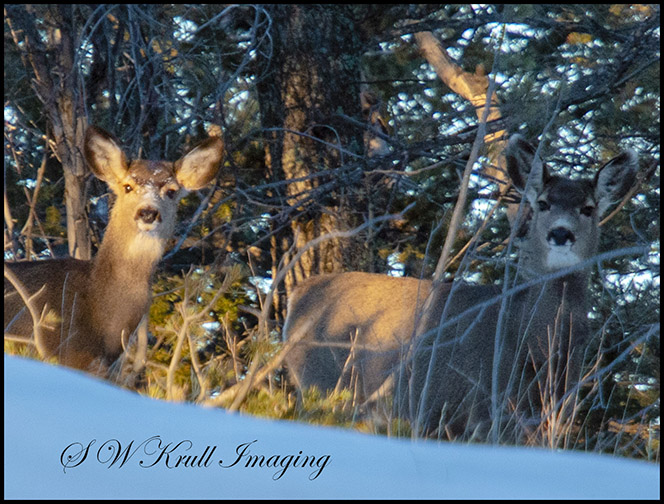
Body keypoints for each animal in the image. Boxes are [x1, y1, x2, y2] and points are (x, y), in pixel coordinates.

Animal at [282, 134, 638, 440]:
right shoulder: (486, 407)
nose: (561, 233)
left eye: (588, 208)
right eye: (543, 203)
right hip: (325, 382)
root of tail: (298, 294)